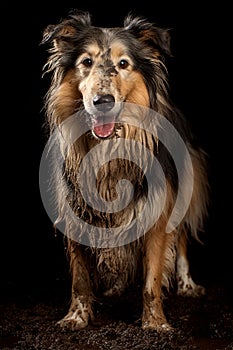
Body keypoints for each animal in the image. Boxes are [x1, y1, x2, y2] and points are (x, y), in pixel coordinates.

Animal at [40, 10, 209, 330]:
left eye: (123, 64)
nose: (103, 102)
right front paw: (76, 317)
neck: (109, 147)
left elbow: (151, 279)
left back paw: (187, 284)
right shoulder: (75, 211)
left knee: (181, 240)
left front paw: (155, 323)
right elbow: (80, 279)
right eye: (86, 62)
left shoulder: (158, 210)